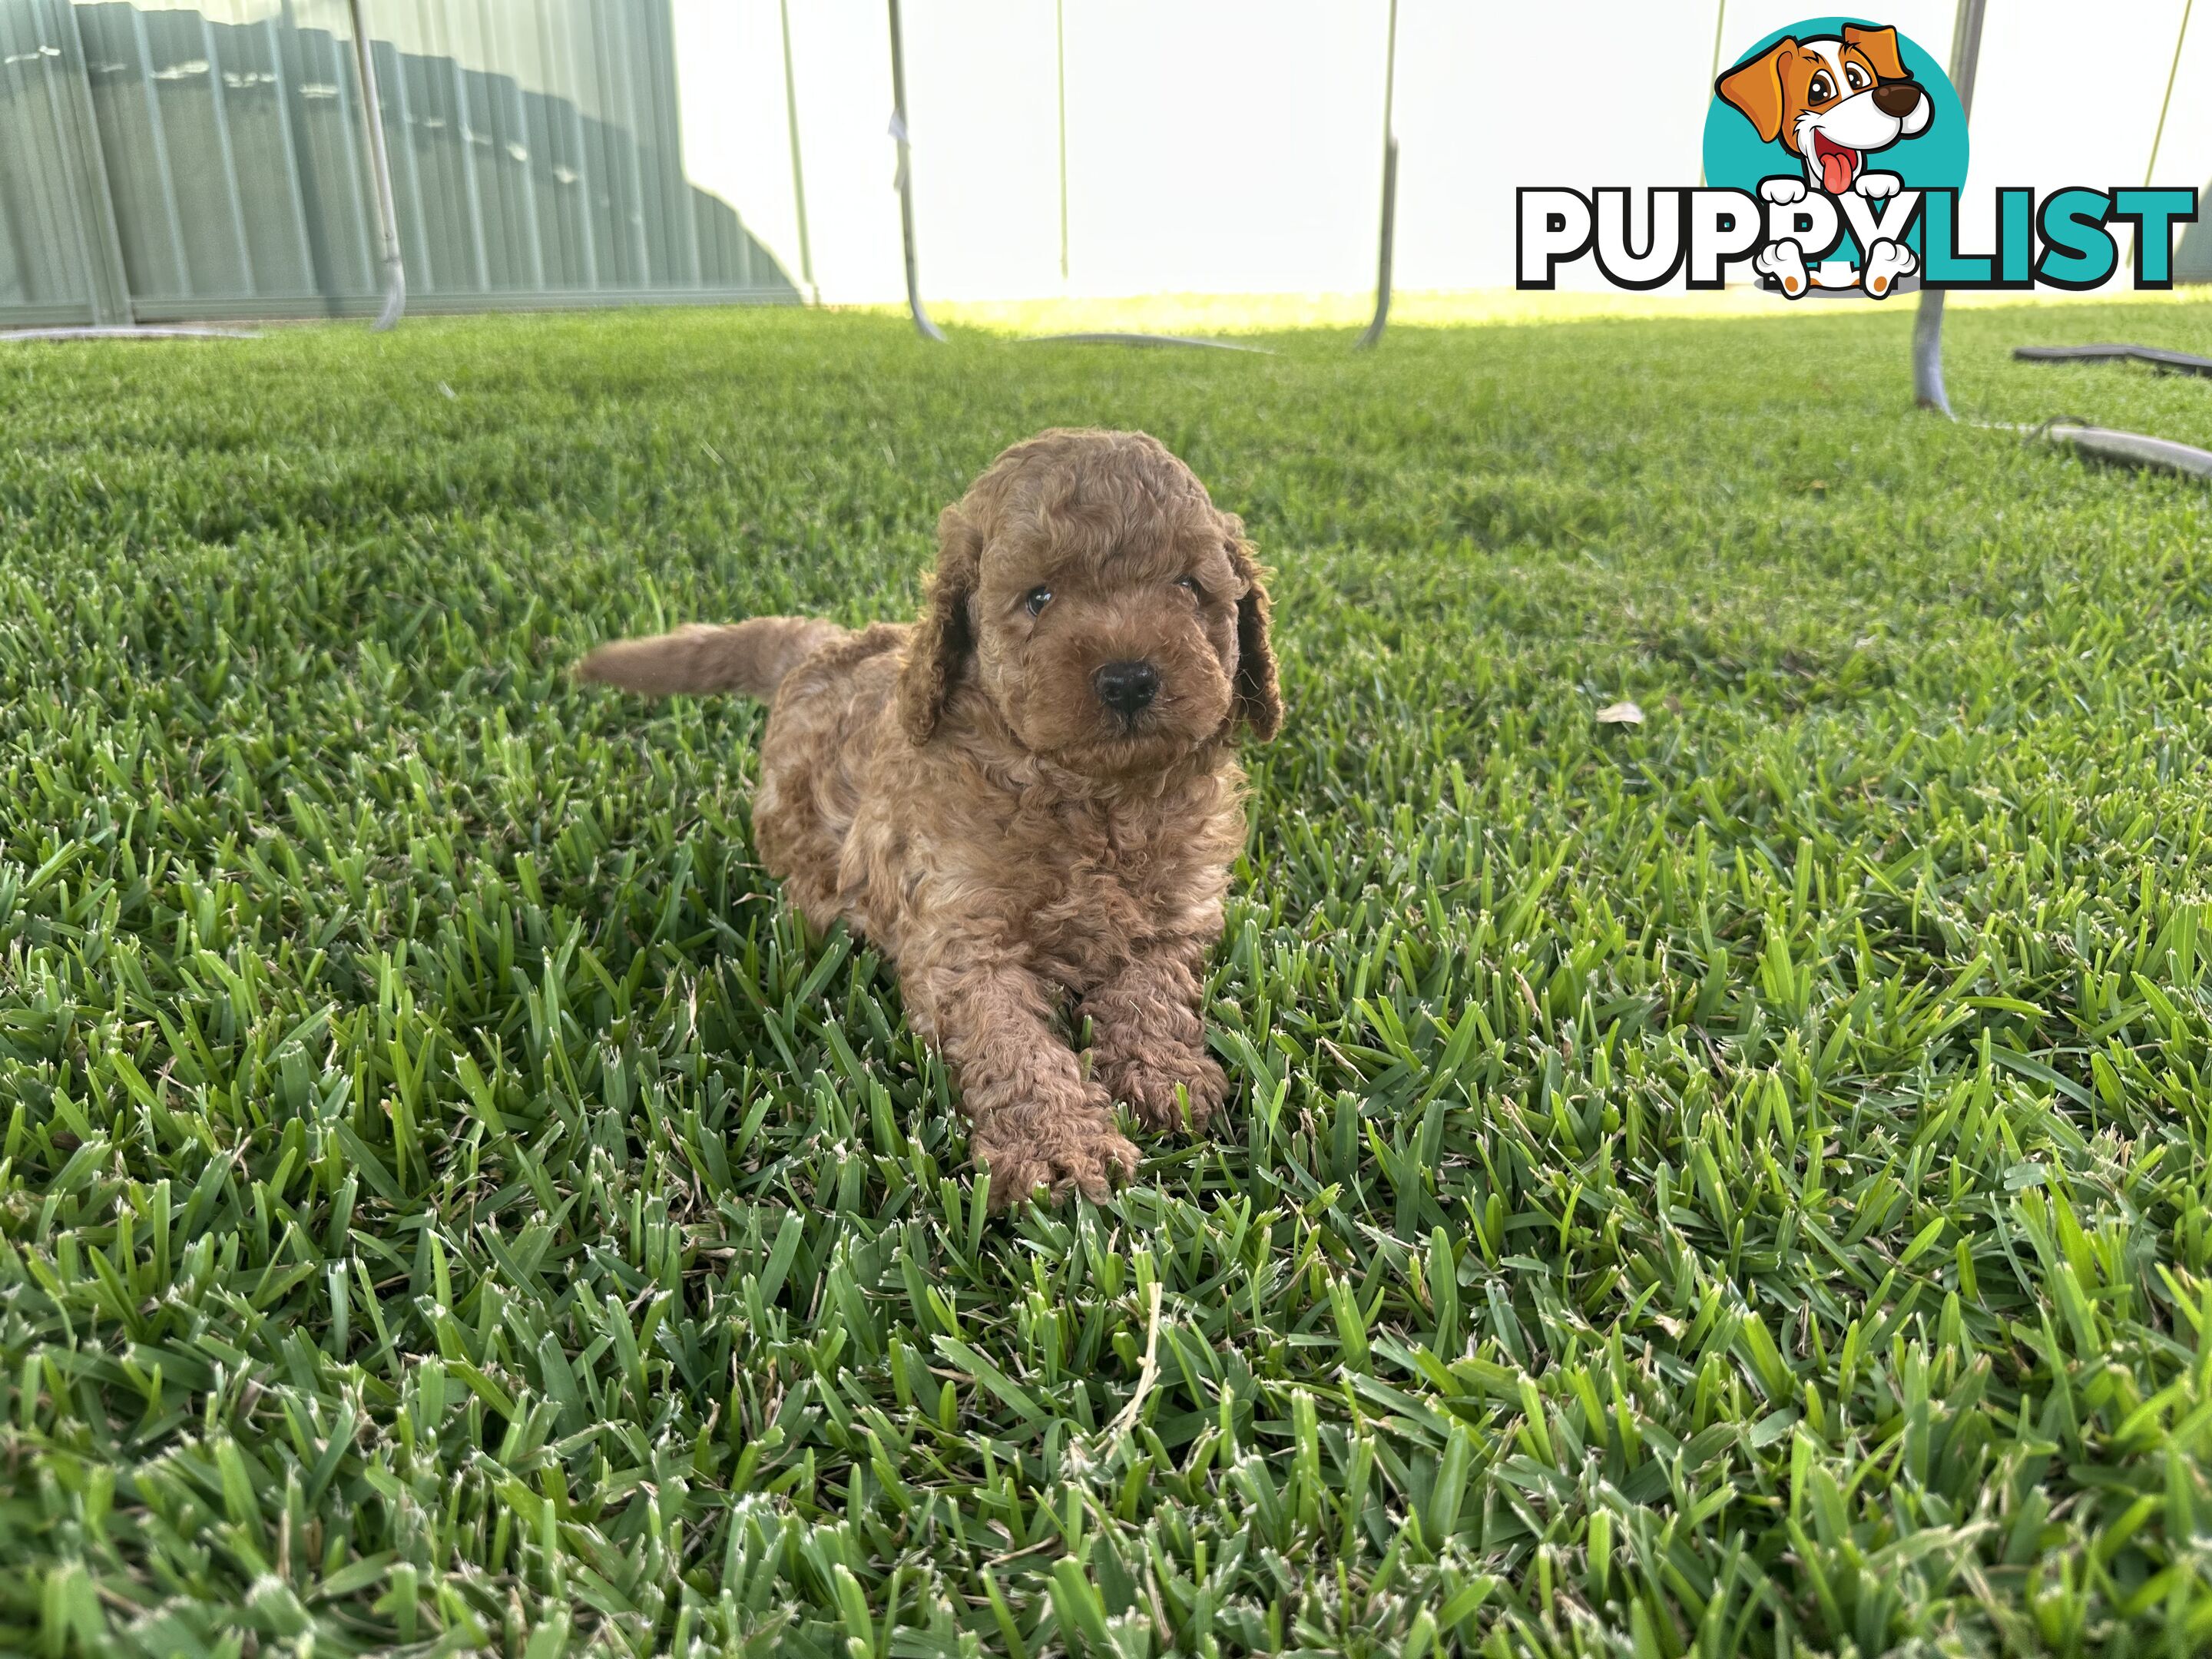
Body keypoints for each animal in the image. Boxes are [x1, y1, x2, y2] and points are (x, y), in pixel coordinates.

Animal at [579, 431, 1291, 1212]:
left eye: (1189, 587)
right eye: (1039, 598)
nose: (1129, 678)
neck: (1093, 795)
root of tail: (824, 647)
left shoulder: (1175, 915)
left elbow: (1154, 991)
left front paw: (1167, 1077)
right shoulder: (961, 938)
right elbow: (1011, 1041)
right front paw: (1057, 1146)